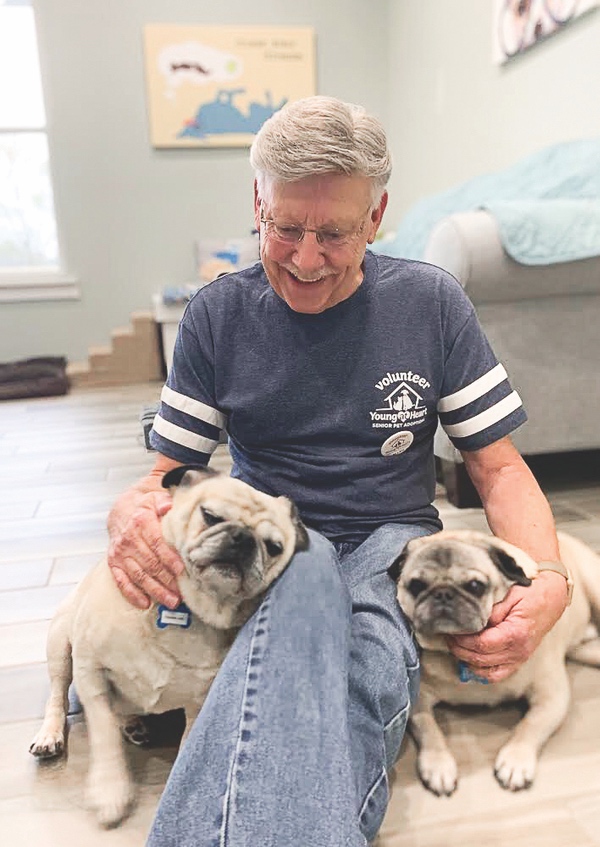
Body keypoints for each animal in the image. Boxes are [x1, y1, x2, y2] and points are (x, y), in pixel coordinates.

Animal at [28, 464, 310, 828]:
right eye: (210, 516)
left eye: (274, 547)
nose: (243, 539)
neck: (192, 608)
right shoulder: (91, 668)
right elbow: (103, 732)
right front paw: (109, 790)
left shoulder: (198, 704)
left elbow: (186, 746)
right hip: (61, 642)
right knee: (59, 693)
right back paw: (50, 735)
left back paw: (134, 724)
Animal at [386, 532, 600, 800]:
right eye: (416, 586)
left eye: (475, 586)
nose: (443, 594)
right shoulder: (418, 701)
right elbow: (428, 729)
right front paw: (438, 765)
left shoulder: (552, 697)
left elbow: (531, 725)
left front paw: (516, 761)